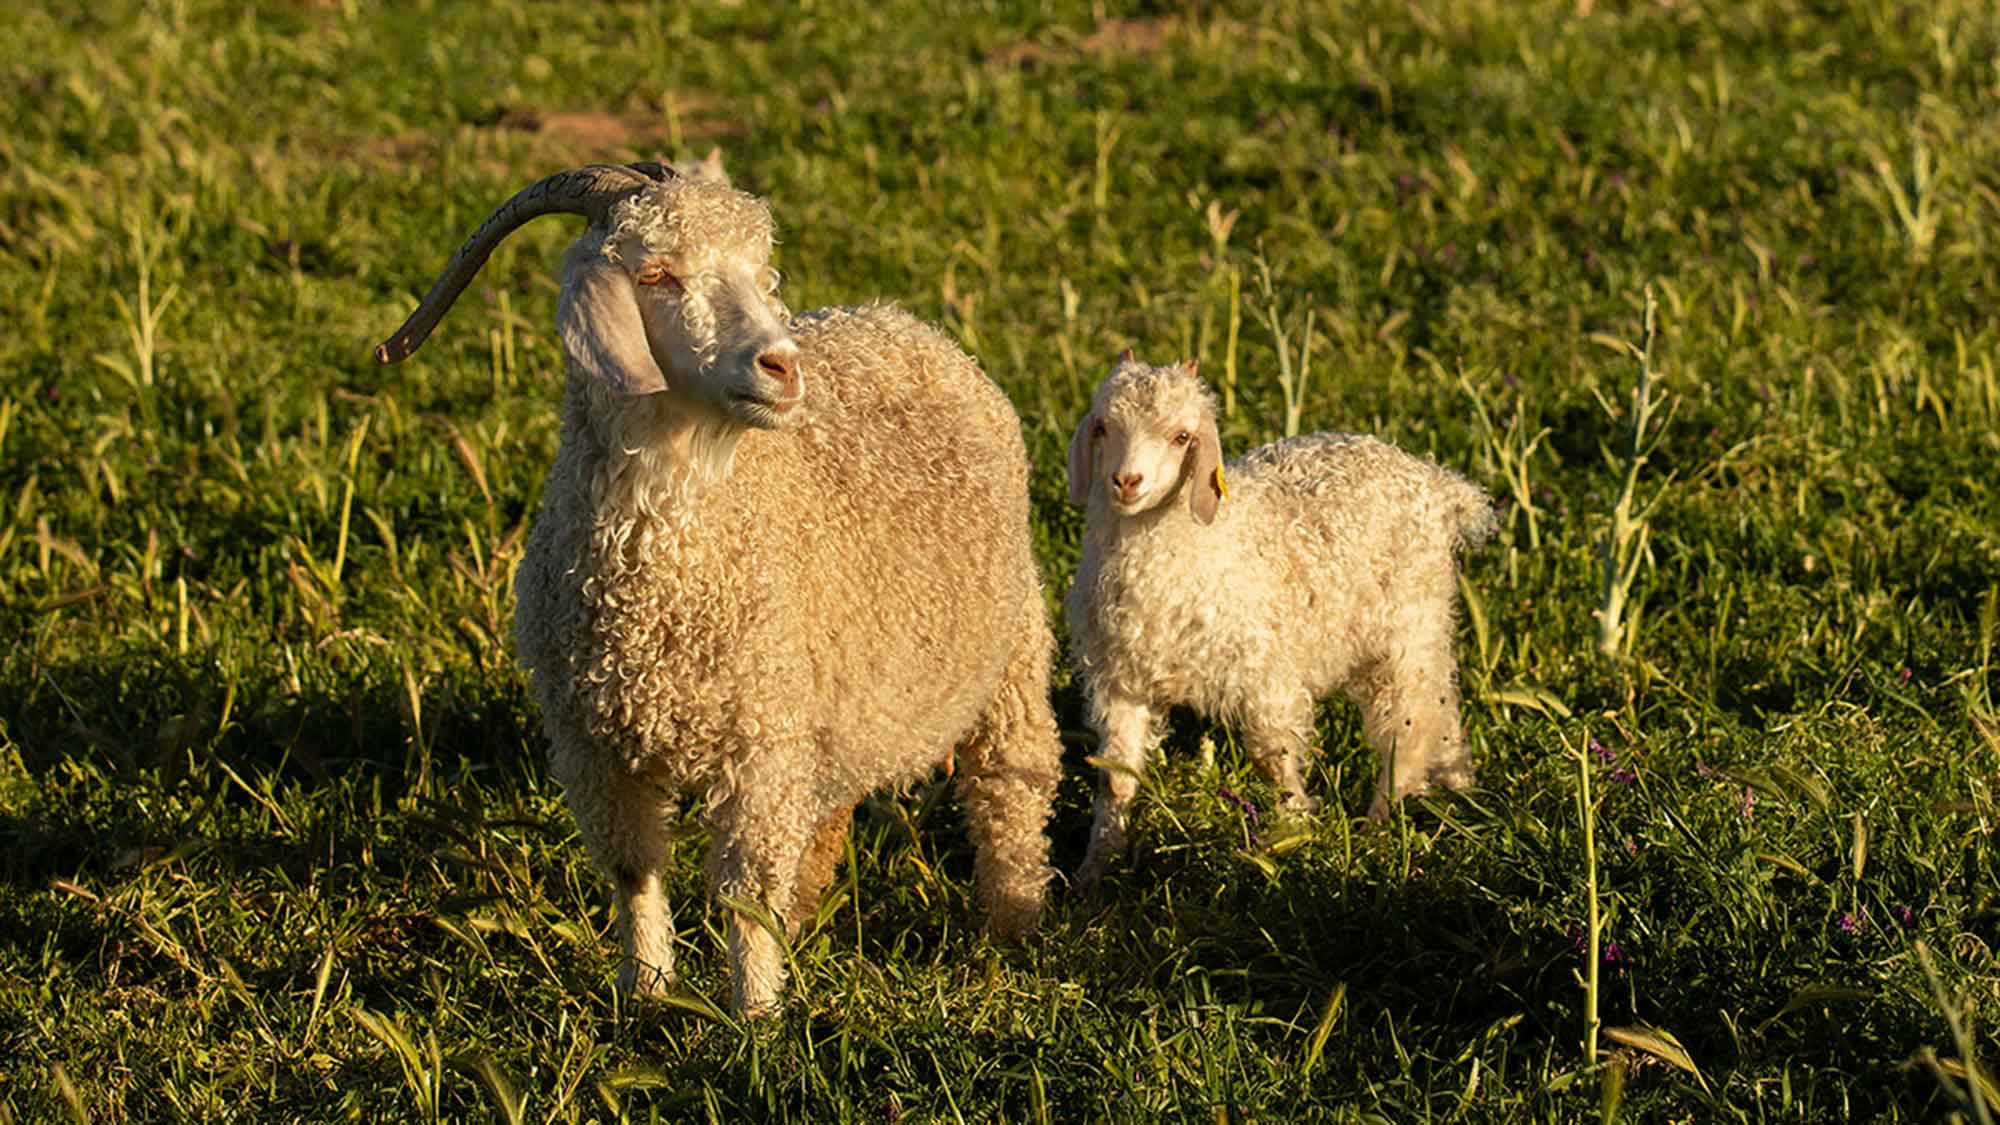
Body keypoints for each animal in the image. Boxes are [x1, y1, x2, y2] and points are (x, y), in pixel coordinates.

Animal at [375, 163, 1063, 1017]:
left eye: (762, 274)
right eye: (656, 275)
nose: (783, 366)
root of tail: (904, 323)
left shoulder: (759, 739)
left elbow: (743, 889)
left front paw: (755, 1016)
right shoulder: (594, 743)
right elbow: (633, 870)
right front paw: (644, 990)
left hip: (1014, 649)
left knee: (1013, 781)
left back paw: (1010, 922)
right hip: (834, 701)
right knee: (830, 801)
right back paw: (808, 913)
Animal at [1063, 354, 1495, 886]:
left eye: (1182, 437)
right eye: (1103, 426)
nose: (1126, 482)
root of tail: (1438, 483)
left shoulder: (1263, 674)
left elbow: (1273, 758)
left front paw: (1290, 833)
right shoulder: (1120, 682)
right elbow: (1116, 776)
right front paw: (1096, 865)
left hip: (1407, 627)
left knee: (1409, 724)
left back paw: (1381, 821)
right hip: (1410, 634)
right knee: (1441, 702)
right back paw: (1460, 784)